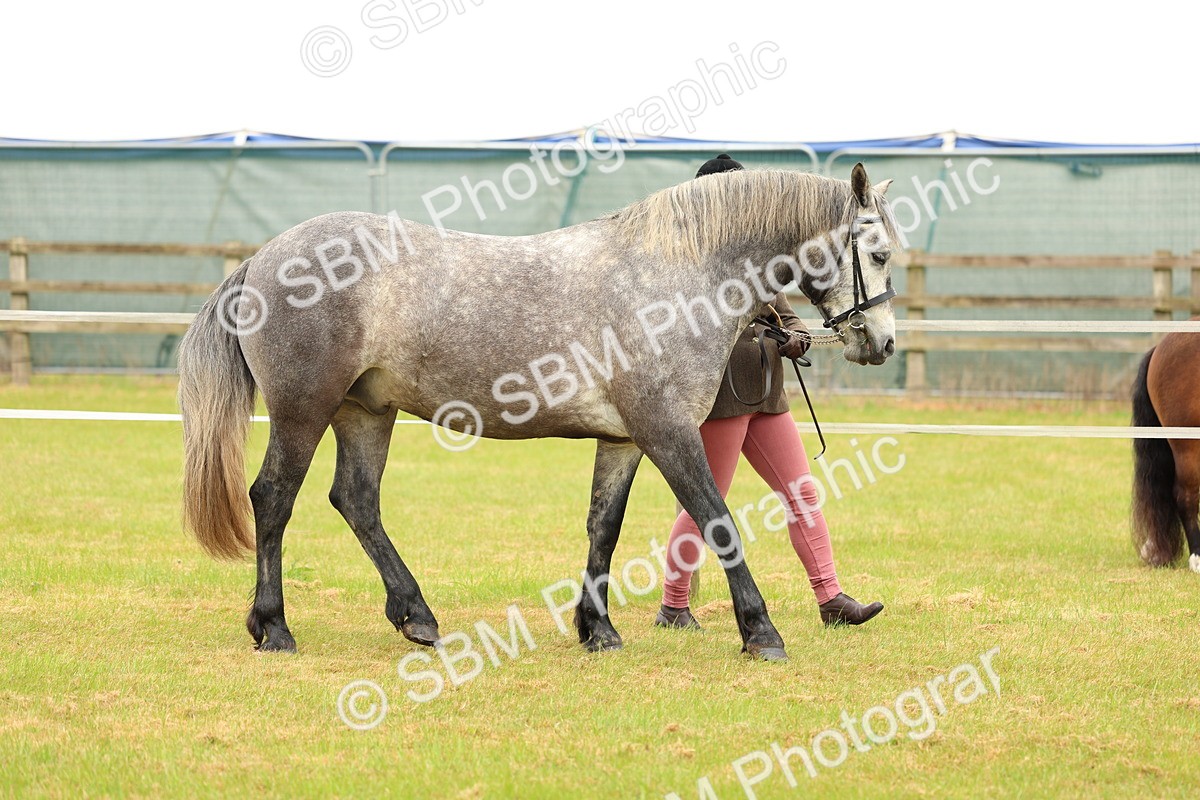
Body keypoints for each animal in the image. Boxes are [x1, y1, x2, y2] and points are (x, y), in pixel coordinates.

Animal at [176, 164, 901, 660]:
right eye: (880, 253)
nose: (883, 343)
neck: (675, 276)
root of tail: (262, 260)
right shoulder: (667, 433)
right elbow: (717, 522)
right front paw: (761, 632)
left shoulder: (625, 440)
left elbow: (603, 528)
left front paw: (597, 629)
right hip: (304, 411)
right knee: (273, 498)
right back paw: (274, 626)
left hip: (364, 412)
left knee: (356, 500)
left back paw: (416, 616)